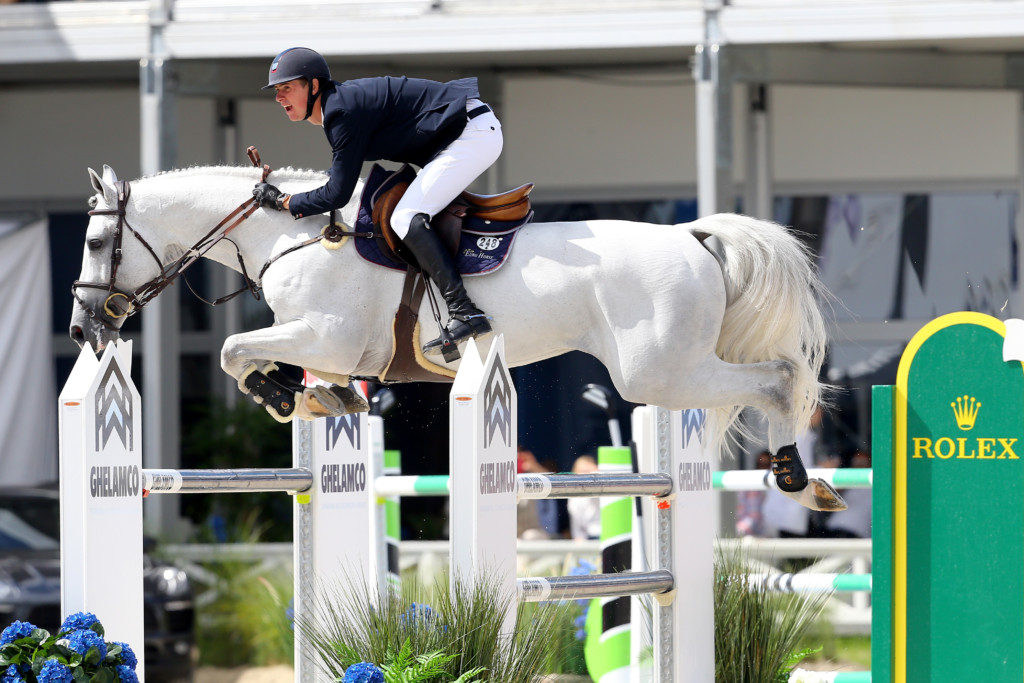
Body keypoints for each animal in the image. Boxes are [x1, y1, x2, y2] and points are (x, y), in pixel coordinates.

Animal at [70, 163, 839, 507]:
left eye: (99, 241)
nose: (84, 326)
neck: (290, 234)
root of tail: (692, 235)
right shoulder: (327, 344)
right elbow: (266, 360)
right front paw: (318, 398)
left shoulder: (325, 335)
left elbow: (237, 350)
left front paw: (284, 393)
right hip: (669, 369)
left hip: (658, 371)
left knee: (778, 379)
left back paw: (799, 479)